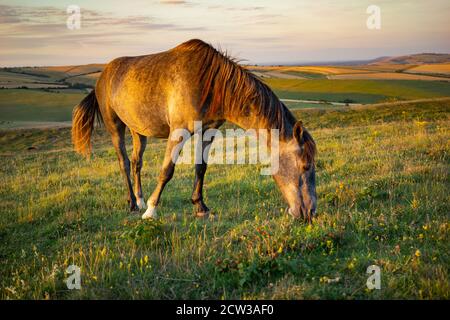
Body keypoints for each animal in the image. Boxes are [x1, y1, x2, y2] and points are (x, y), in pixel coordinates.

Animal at [72, 38, 316, 222]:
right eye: (305, 165)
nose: (310, 212)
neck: (211, 83)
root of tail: (104, 74)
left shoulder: (208, 132)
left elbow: (201, 167)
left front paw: (200, 206)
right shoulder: (178, 132)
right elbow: (167, 170)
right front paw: (151, 210)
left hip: (137, 130)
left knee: (135, 162)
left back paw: (139, 199)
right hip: (115, 126)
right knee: (123, 162)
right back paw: (133, 203)